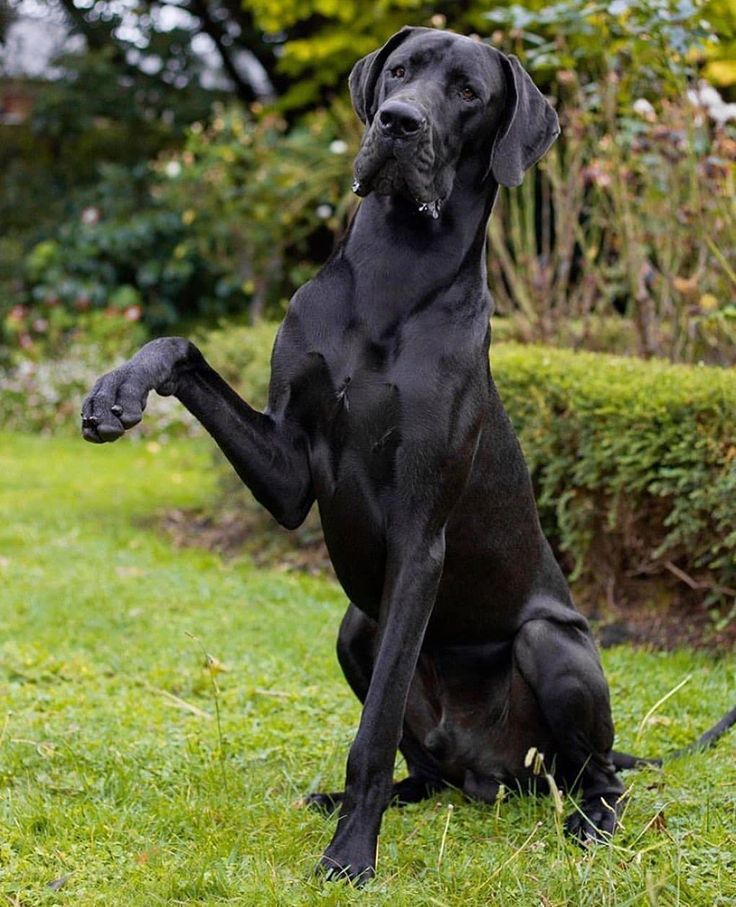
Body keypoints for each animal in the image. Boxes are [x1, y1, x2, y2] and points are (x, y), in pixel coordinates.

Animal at [82, 26, 736, 880]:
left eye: (468, 93)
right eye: (398, 71)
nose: (397, 122)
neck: (396, 267)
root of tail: (491, 772)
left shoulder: (419, 537)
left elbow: (376, 723)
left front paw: (350, 854)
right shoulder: (290, 469)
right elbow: (182, 347)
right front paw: (117, 389)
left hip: (552, 646)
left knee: (596, 771)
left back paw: (587, 818)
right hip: (355, 626)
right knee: (426, 764)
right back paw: (391, 793)